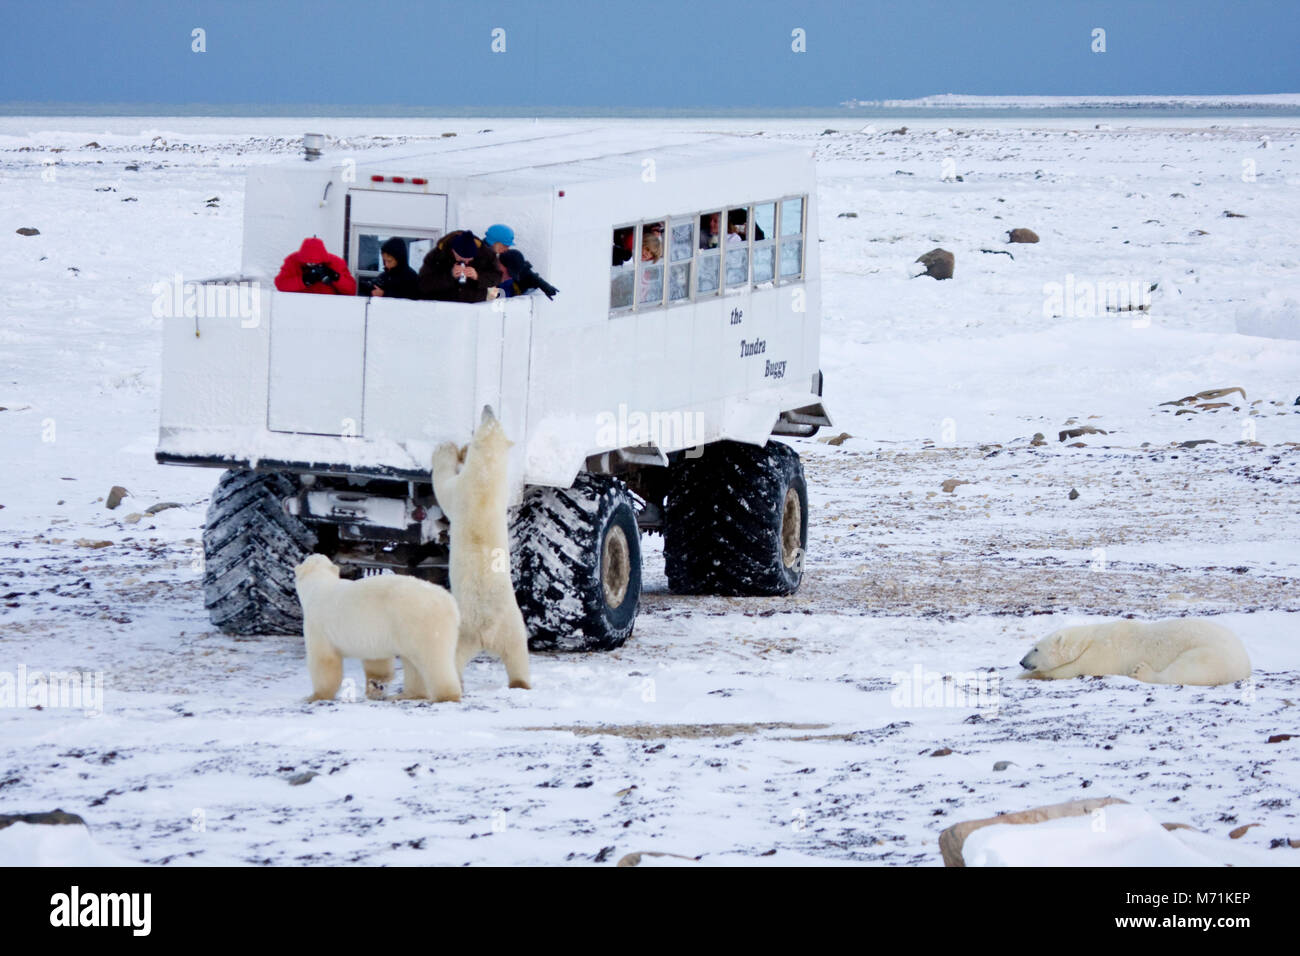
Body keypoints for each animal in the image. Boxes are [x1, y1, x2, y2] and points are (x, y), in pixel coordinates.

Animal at [295, 554, 462, 702]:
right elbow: (376, 660)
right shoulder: (372, 632)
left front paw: (314, 696)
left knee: (432, 659)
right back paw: (407, 695)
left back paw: (445, 696)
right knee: (412, 662)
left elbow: (323, 660)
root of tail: (449, 601)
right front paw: (376, 687)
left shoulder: (317, 624)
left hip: (420, 622)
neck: (317, 586)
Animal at [1013, 621, 1248, 686]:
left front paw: (1028, 675)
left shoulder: (1102, 653)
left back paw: (1141, 672)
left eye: (1036, 648)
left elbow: (1072, 669)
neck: (1089, 639)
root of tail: (1246, 662)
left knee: (1187, 668)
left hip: (1209, 652)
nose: (1022, 662)